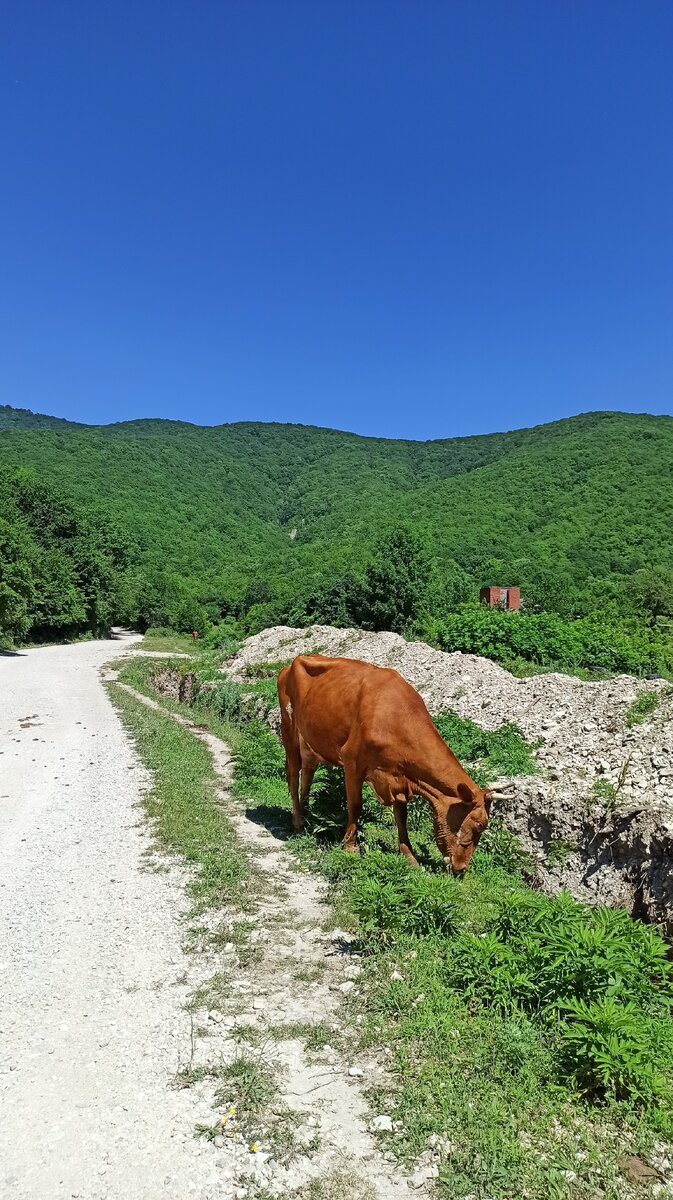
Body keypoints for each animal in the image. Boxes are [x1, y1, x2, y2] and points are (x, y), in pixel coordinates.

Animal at [275, 657, 506, 873]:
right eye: (479, 824)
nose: (461, 869)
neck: (395, 717)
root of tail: (293, 663)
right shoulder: (352, 761)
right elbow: (355, 805)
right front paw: (350, 848)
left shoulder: (399, 777)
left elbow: (401, 816)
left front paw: (409, 856)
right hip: (289, 728)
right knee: (293, 774)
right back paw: (297, 821)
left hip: (310, 742)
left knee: (308, 773)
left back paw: (306, 816)